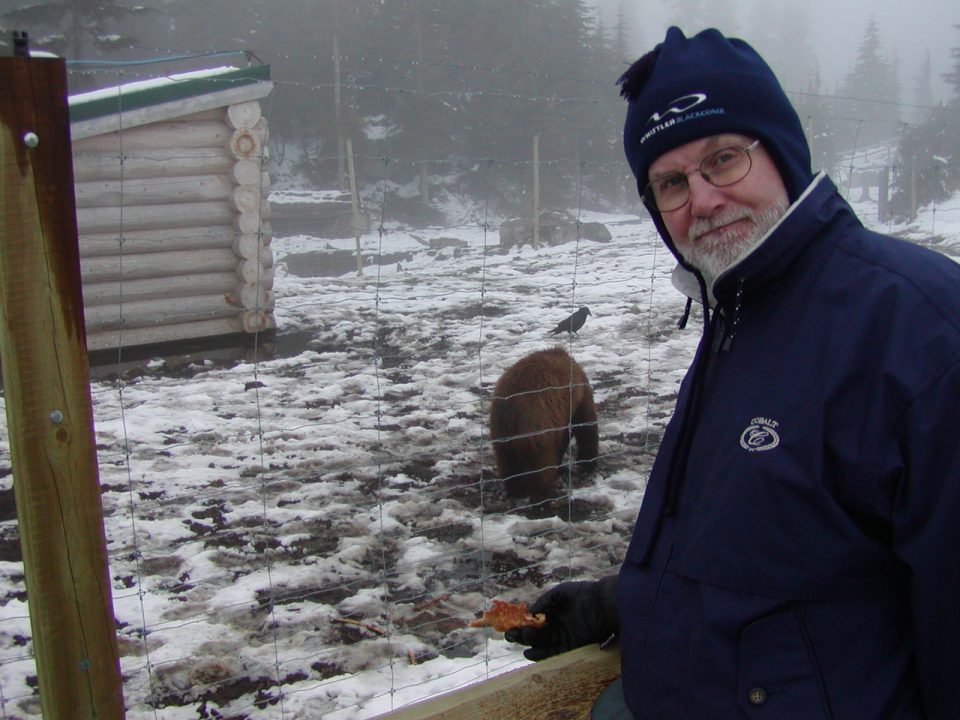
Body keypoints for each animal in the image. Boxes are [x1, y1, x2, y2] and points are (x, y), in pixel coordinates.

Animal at [492, 346, 596, 498]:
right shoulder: (575, 399)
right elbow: (586, 425)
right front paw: (587, 463)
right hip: (537, 425)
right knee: (541, 466)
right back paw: (542, 495)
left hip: (501, 432)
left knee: (508, 464)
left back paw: (517, 490)